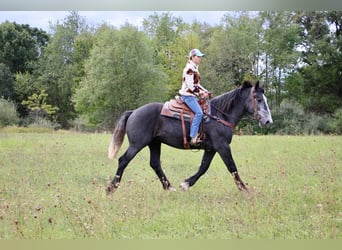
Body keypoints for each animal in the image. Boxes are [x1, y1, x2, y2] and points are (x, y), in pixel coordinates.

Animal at [107, 80, 272, 193]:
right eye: (258, 99)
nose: (268, 121)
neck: (219, 115)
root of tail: (133, 112)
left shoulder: (211, 149)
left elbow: (203, 167)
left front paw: (185, 184)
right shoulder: (222, 146)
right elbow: (232, 167)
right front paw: (245, 189)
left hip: (154, 143)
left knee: (155, 164)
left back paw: (169, 187)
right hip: (137, 144)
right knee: (123, 160)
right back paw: (111, 188)